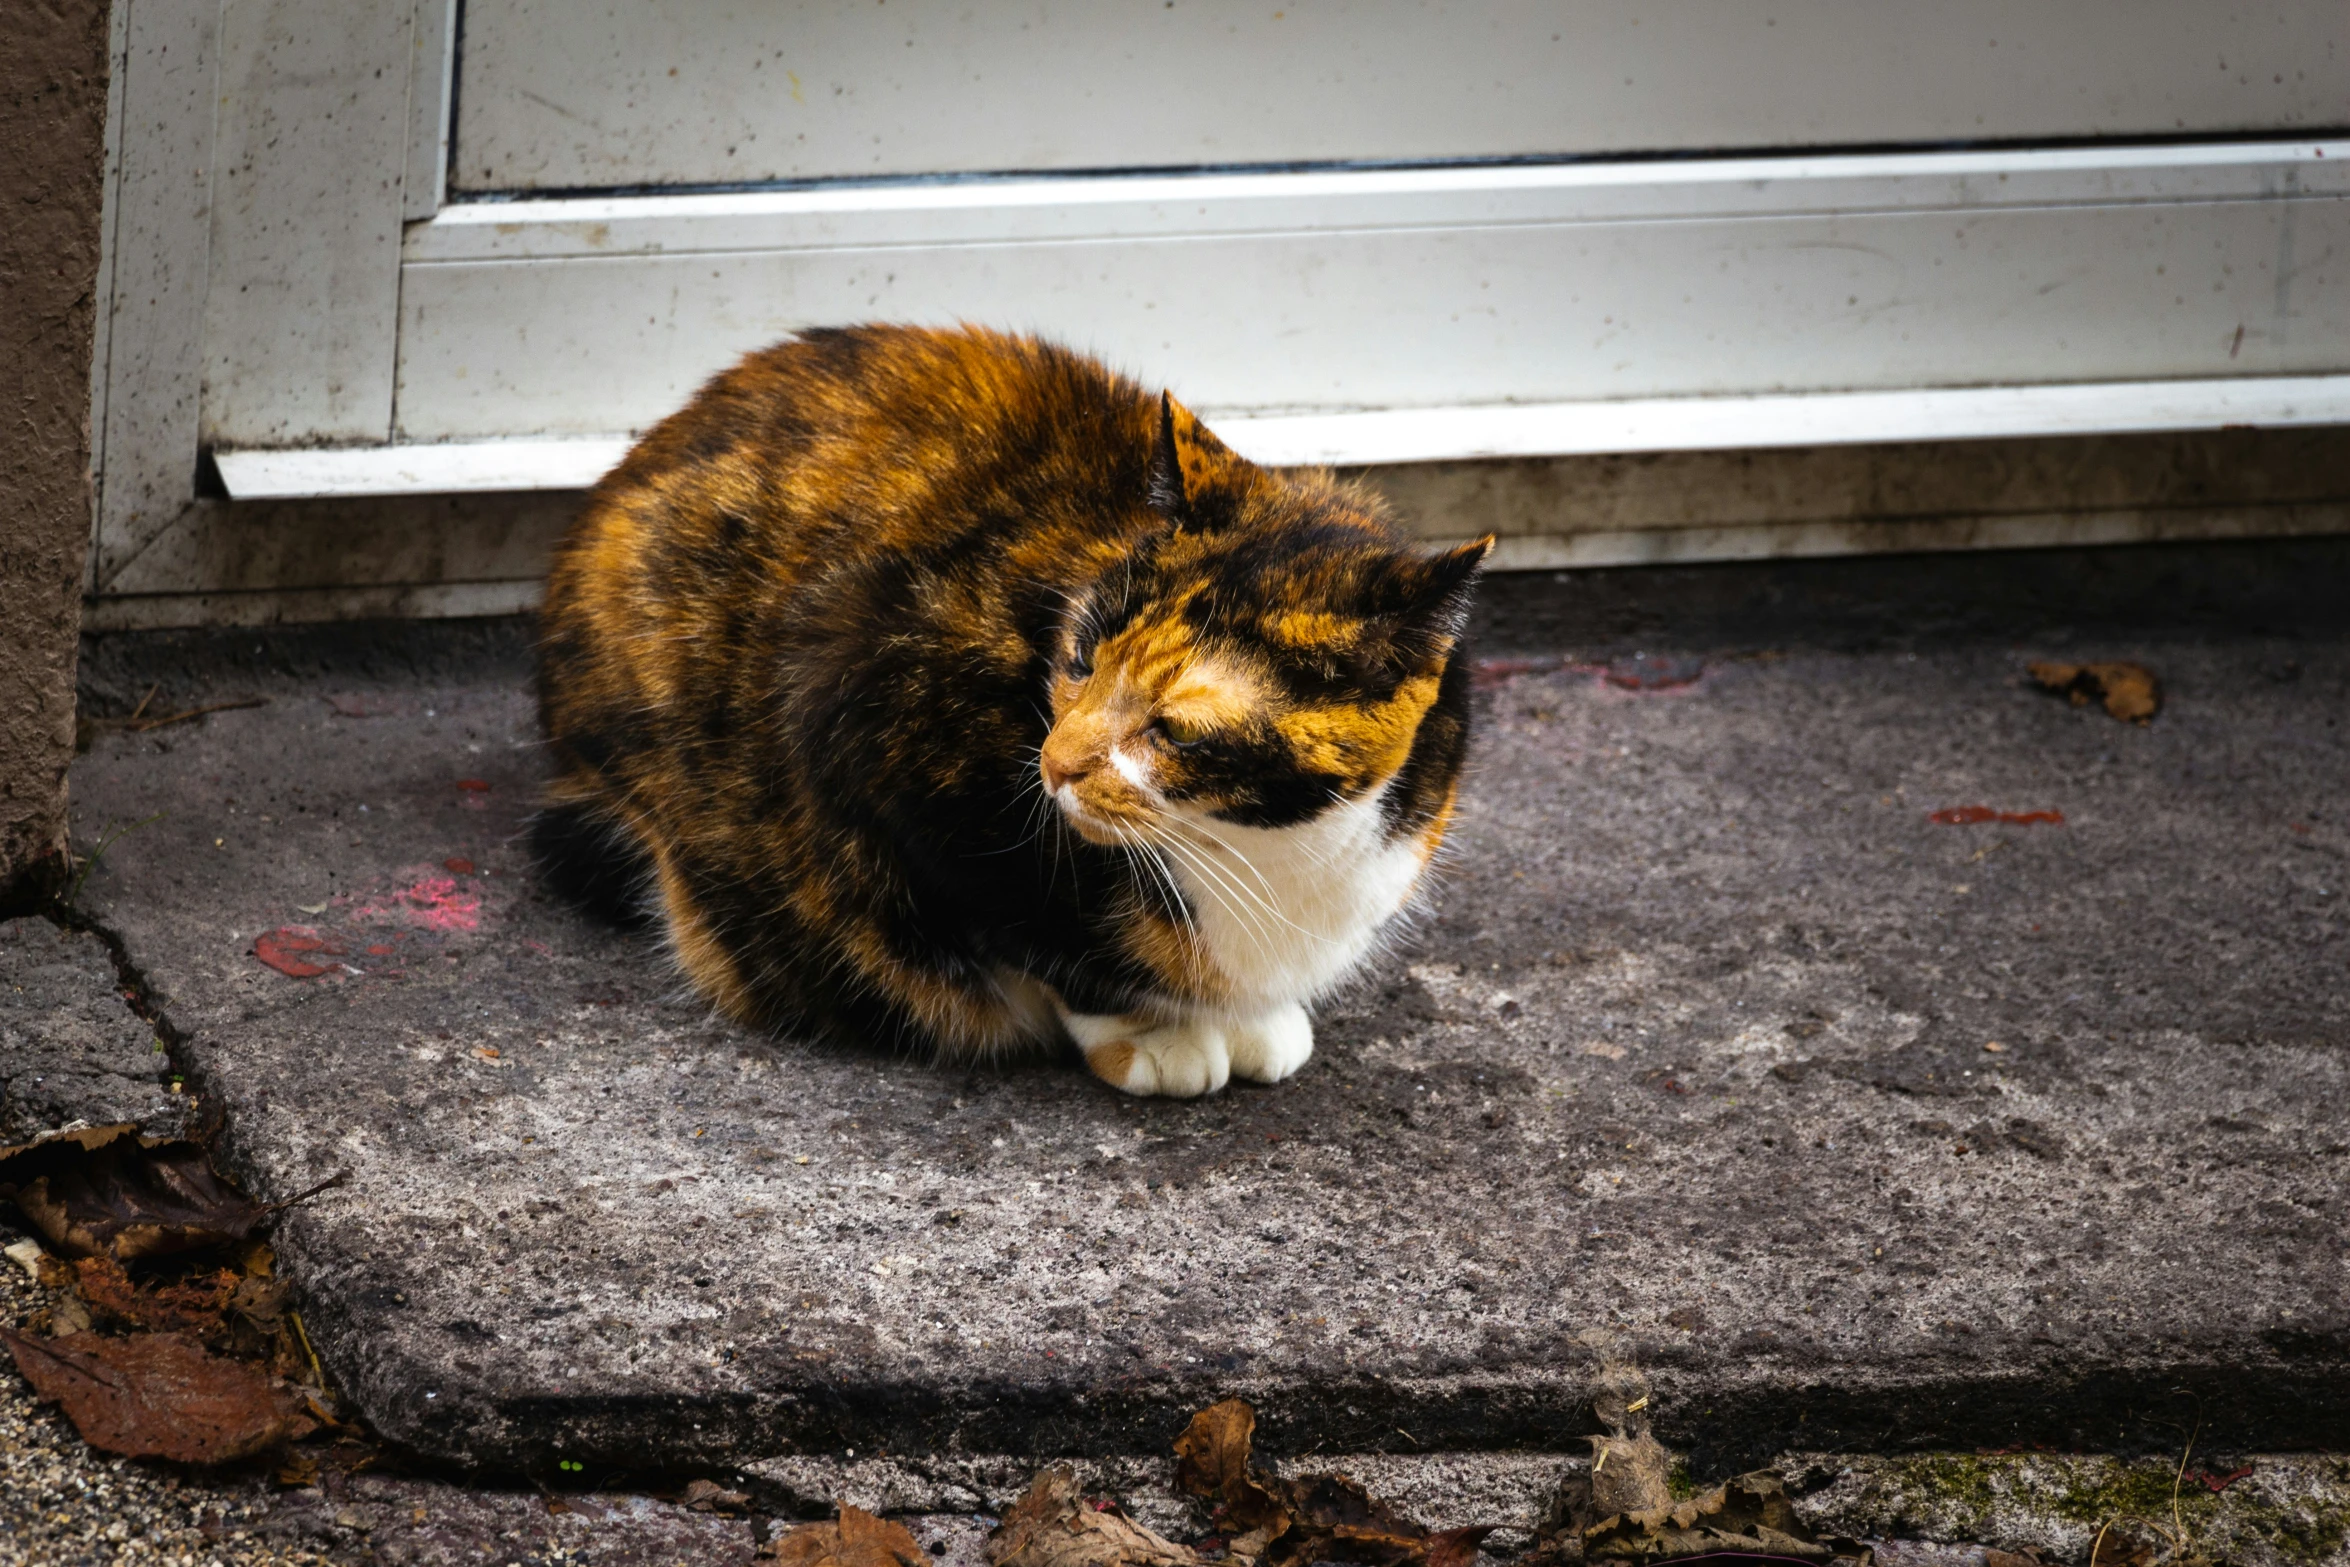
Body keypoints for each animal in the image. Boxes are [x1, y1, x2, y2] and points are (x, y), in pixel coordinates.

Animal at [533, 324, 1485, 1099]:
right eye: (1080, 658)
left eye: (1172, 729)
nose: (1055, 764)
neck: (1259, 855)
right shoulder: (857, 706)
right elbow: (1038, 932)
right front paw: (1155, 1035)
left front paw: (1254, 1018)